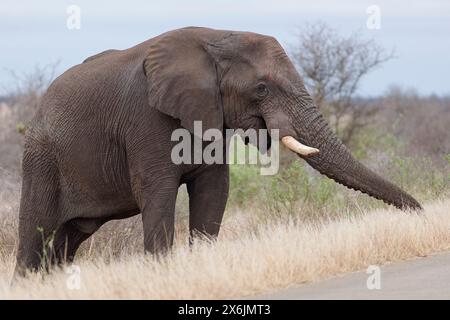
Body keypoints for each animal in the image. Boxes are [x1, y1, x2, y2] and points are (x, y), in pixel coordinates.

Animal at [14, 26, 422, 276]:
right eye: (261, 88)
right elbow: (158, 193)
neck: (217, 37)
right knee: (36, 235)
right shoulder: (145, 120)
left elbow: (214, 190)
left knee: (66, 239)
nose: (421, 212)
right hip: (41, 160)